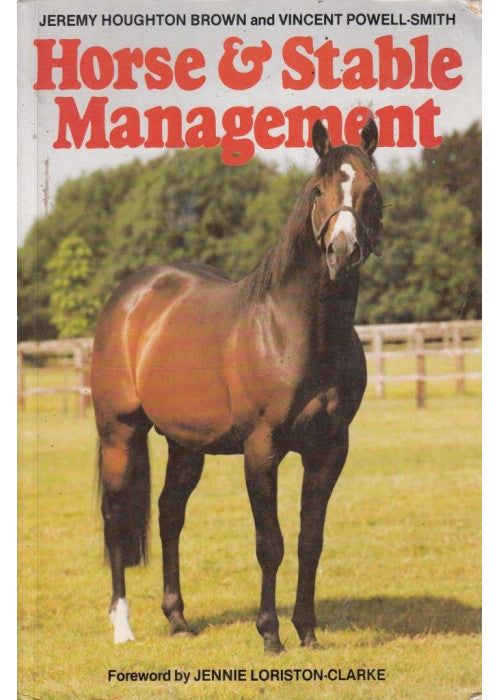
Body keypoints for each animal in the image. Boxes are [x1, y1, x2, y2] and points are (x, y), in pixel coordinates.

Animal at [91, 118, 383, 653]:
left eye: (370, 191)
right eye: (318, 190)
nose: (342, 253)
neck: (298, 332)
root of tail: (130, 297)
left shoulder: (330, 449)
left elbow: (310, 541)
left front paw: (307, 632)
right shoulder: (262, 449)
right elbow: (271, 543)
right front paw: (270, 634)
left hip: (186, 445)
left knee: (169, 514)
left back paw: (178, 618)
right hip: (119, 431)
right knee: (116, 515)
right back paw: (123, 626)